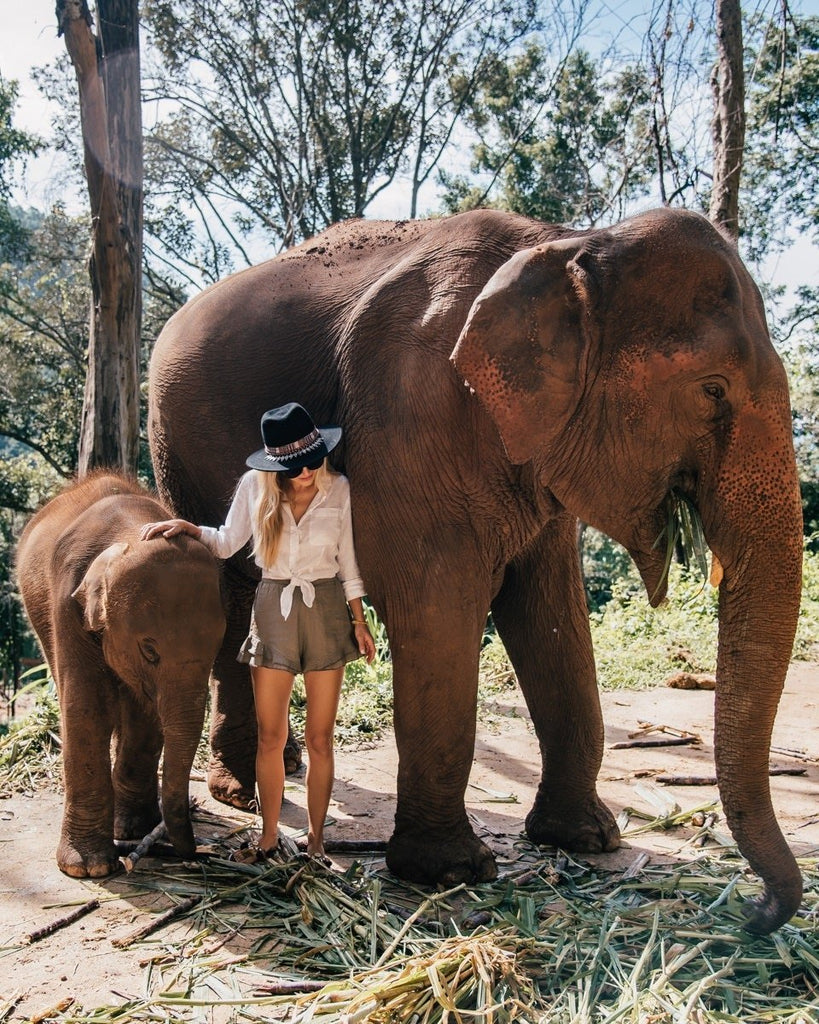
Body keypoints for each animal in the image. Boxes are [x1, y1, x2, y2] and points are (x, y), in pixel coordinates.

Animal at [15, 475, 225, 876]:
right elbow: (88, 706)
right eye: (150, 651)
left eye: (217, 649)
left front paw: (134, 830)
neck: (130, 529)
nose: (193, 853)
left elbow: (145, 711)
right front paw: (88, 868)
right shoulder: (67, 601)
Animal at [150, 207, 802, 937]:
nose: (754, 914)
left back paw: (282, 764)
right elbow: (435, 610)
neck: (567, 241)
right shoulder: (413, 408)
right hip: (179, 444)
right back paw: (240, 792)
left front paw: (587, 838)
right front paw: (451, 873)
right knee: (237, 586)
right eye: (711, 390)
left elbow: (552, 613)